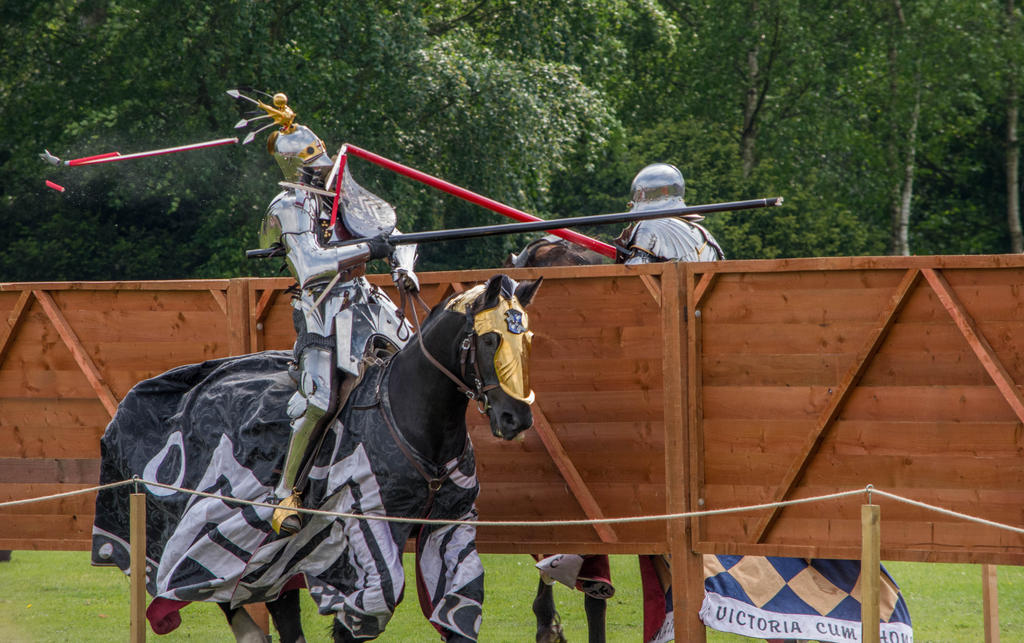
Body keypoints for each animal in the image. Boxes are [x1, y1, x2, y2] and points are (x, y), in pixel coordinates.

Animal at [90, 272, 544, 643]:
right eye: (491, 339)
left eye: (527, 339)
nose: (515, 417)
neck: (410, 413)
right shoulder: (368, 521)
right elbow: (375, 601)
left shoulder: (451, 525)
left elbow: (459, 606)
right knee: (208, 582)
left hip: (269, 557)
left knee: (275, 605)